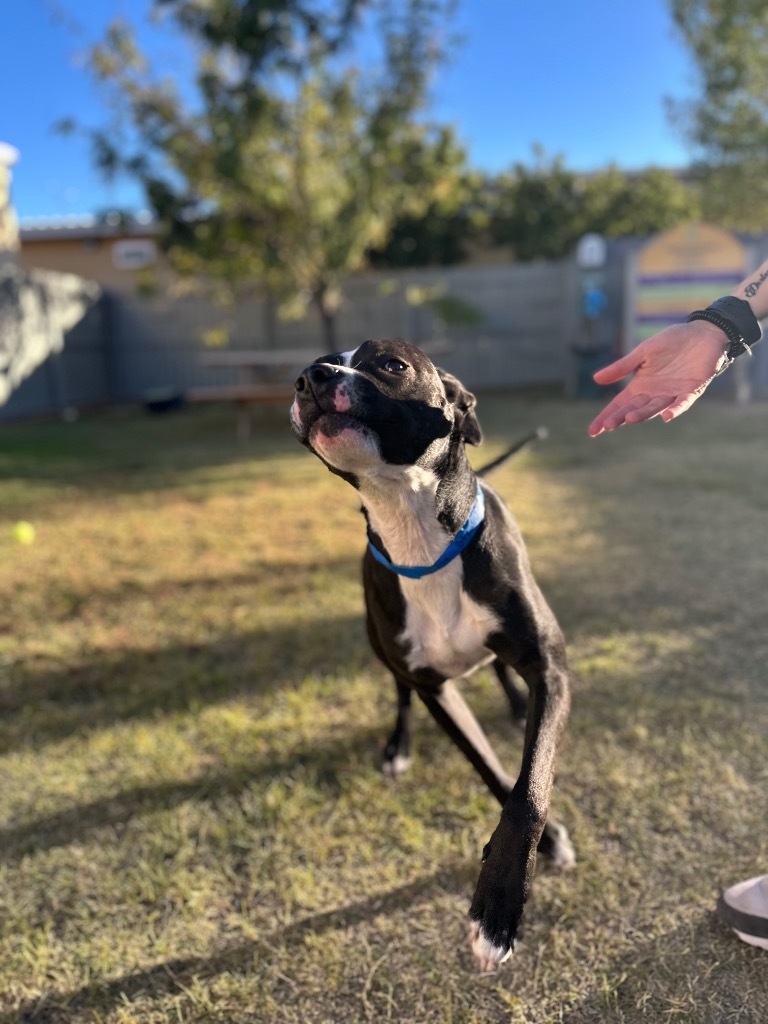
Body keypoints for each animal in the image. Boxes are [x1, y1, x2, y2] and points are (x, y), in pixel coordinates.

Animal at [290, 339, 573, 970]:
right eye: (317, 364)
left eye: (390, 364)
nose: (310, 377)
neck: (418, 535)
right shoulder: (434, 688)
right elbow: (491, 770)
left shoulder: (551, 668)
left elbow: (530, 787)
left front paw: (500, 906)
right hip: (386, 653)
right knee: (400, 695)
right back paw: (398, 748)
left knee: (501, 672)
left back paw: (514, 703)